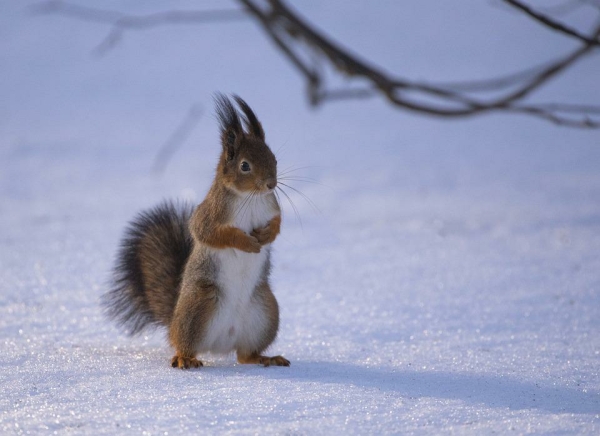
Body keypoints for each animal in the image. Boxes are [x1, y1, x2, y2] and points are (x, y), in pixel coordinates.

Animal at [102, 93, 290, 370]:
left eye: (274, 158)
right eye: (245, 166)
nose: (271, 184)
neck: (250, 197)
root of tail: (221, 343)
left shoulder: (271, 208)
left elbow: (277, 224)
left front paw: (265, 236)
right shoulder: (209, 215)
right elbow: (210, 234)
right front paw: (246, 242)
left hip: (265, 312)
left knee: (245, 355)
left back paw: (265, 358)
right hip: (198, 306)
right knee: (184, 344)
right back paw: (185, 359)